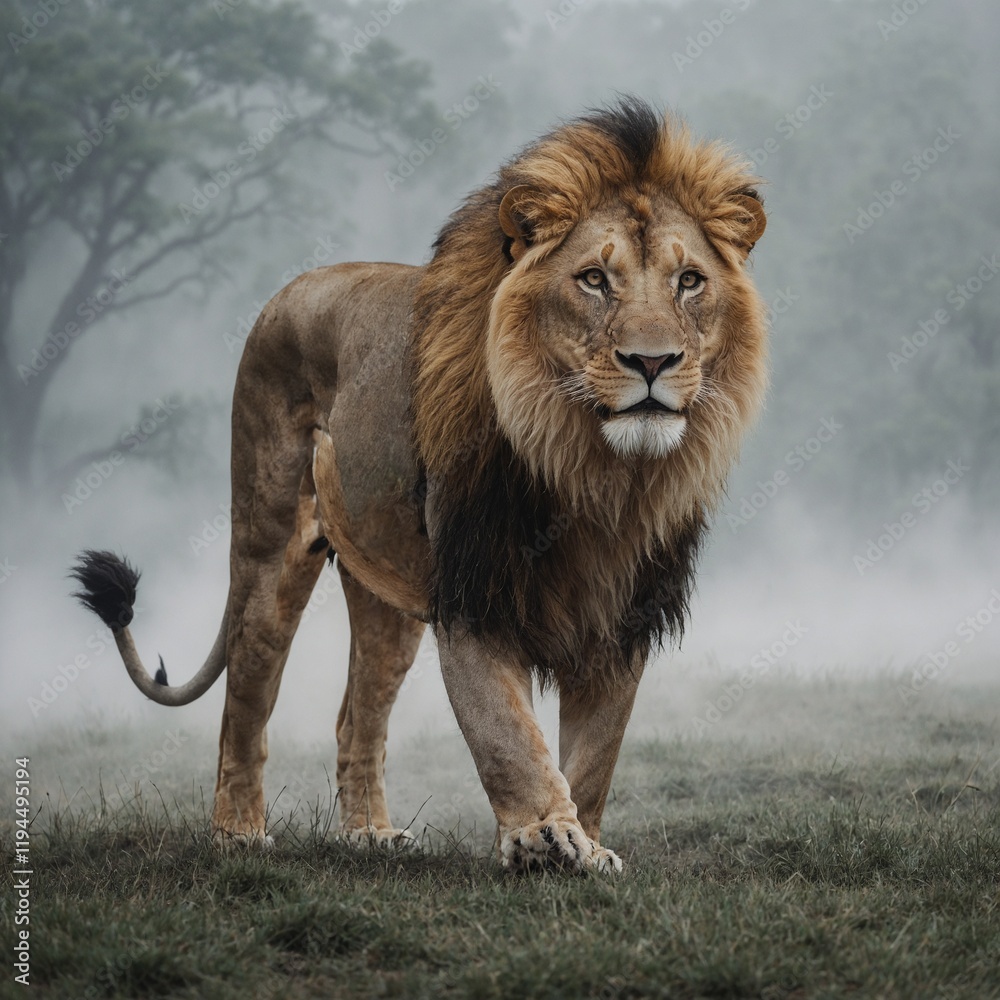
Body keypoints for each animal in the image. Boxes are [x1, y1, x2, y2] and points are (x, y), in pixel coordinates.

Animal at [71, 97, 767, 873]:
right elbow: (506, 732)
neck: (594, 471)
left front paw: (585, 840)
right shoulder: (475, 590)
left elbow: (594, 754)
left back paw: (368, 835)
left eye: (690, 281)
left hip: (386, 596)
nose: (652, 362)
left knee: (357, 715)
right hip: (268, 538)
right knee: (248, 691)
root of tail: (290, 288)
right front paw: (543, 838)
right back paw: (238, 833)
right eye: (593, 279)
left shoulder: (624, 611)